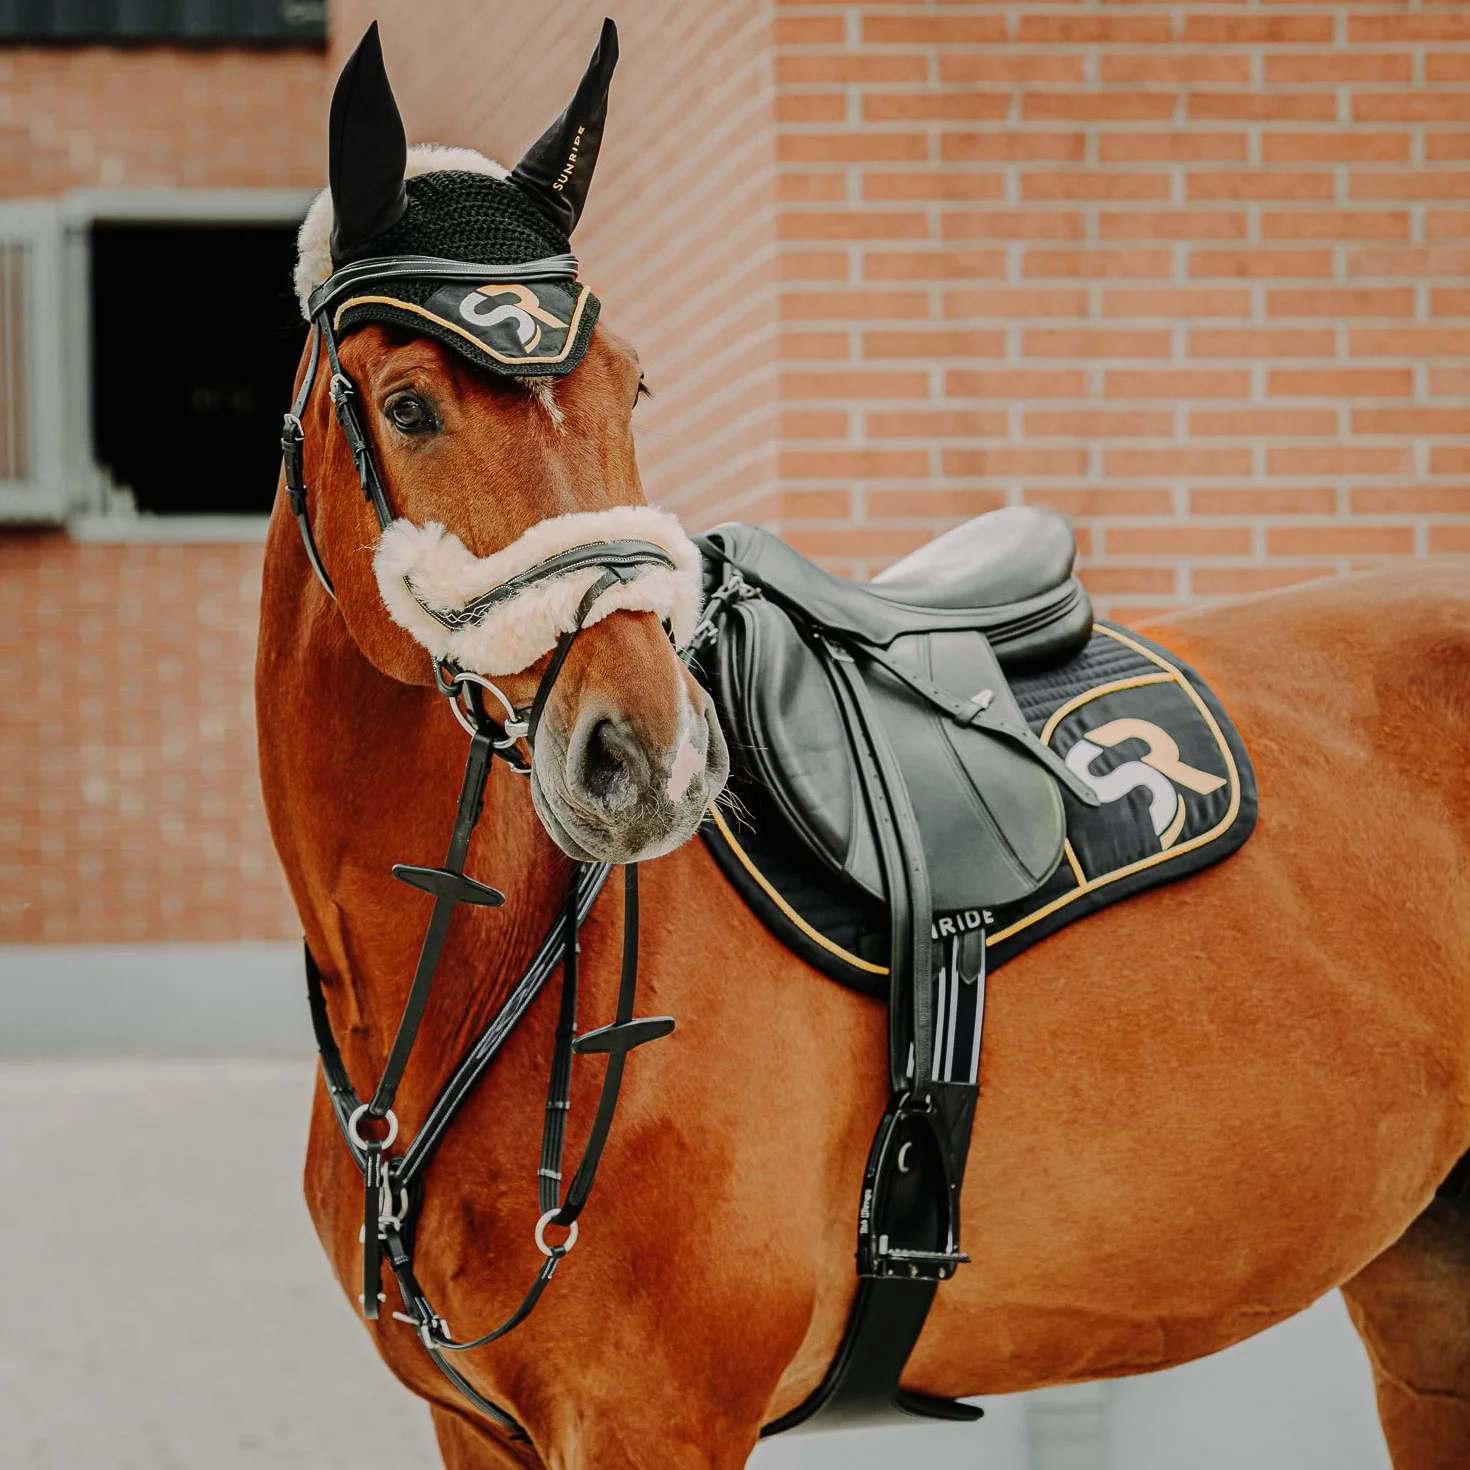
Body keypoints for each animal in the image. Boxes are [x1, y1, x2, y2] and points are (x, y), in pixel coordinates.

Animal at [257, 22, 1470, 1470]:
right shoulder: (478, 1431)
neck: (469, 970)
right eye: (407, 405)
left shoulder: (657, 1423)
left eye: (628, 383)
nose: (650, 754)